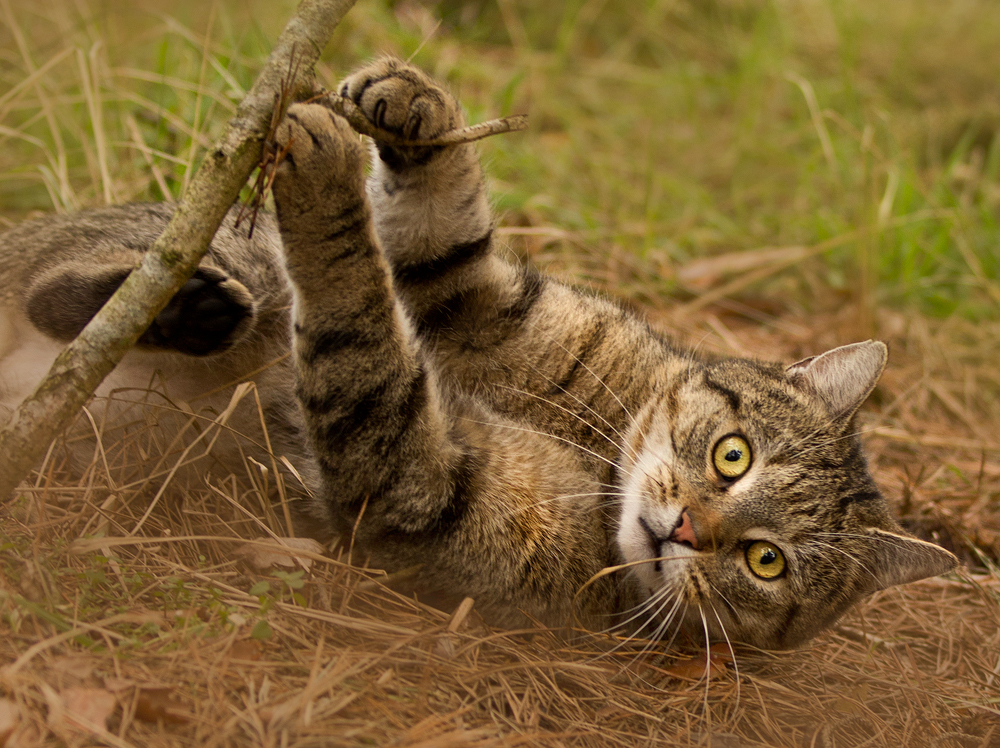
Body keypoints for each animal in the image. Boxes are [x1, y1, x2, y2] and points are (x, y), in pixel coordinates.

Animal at [0, 58, 956, 648]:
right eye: (733, 455)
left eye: (766, 562)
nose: (686, 527)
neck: (604, 450)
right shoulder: (470, 298)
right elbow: (442, 226)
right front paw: (414, 107)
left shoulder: (421, 488)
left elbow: (358, 312)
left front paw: (332, 184)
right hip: (207, 253)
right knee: (85, 274)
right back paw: (181, 305)